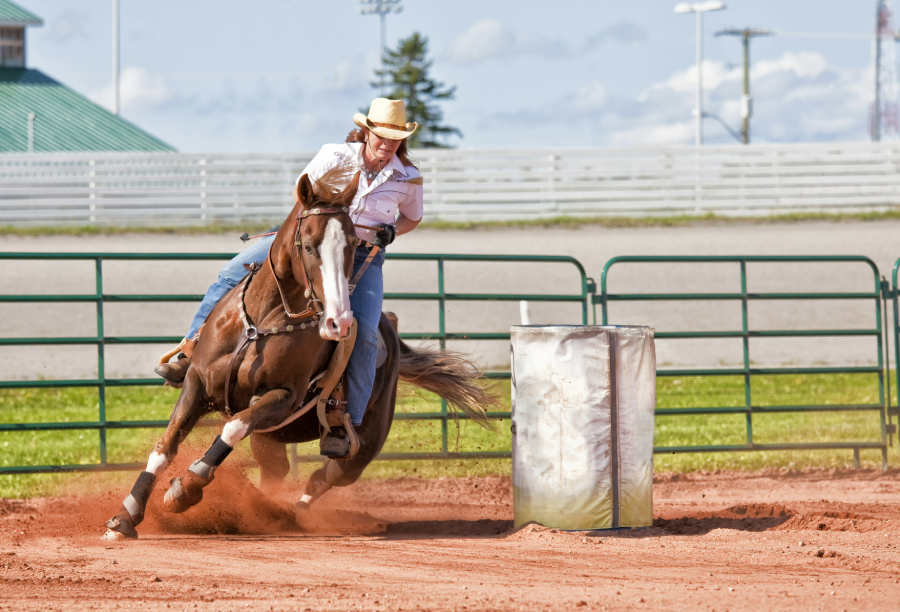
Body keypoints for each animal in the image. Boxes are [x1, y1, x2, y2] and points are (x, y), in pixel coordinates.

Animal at [106, 164, 500, 540]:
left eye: (353, 243)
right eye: (309, 246)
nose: (339, 321)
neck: (259, 323)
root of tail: (389, 326)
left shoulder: (283, 398)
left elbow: (234, 426)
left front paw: (186, 489)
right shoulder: (197, 384)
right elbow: (165, 445)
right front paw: (126, 516)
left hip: (362, 446)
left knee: (326, 475)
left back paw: (287, 514)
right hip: (271, 440)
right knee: (278, 472)